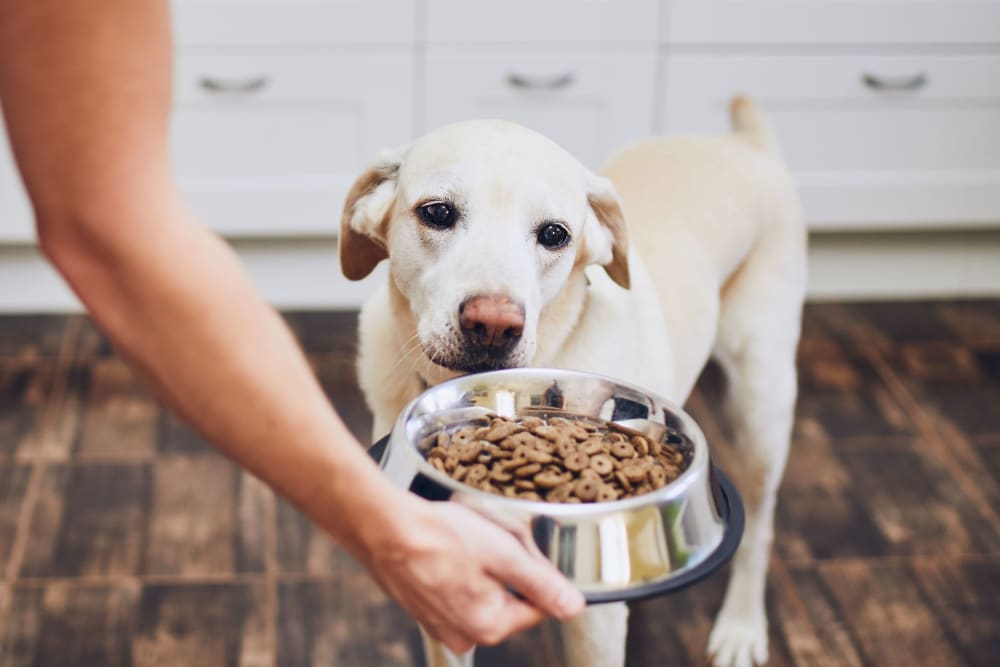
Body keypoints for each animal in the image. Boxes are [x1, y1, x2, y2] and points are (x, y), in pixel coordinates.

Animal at [340, 96, 808, 667]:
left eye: (554, 234)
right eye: (437, 213)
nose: (493, 325)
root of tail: (744, 143)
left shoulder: (595, 621)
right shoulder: (442, 593)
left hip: (762, 401)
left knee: (761, 525)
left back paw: (741, 626)